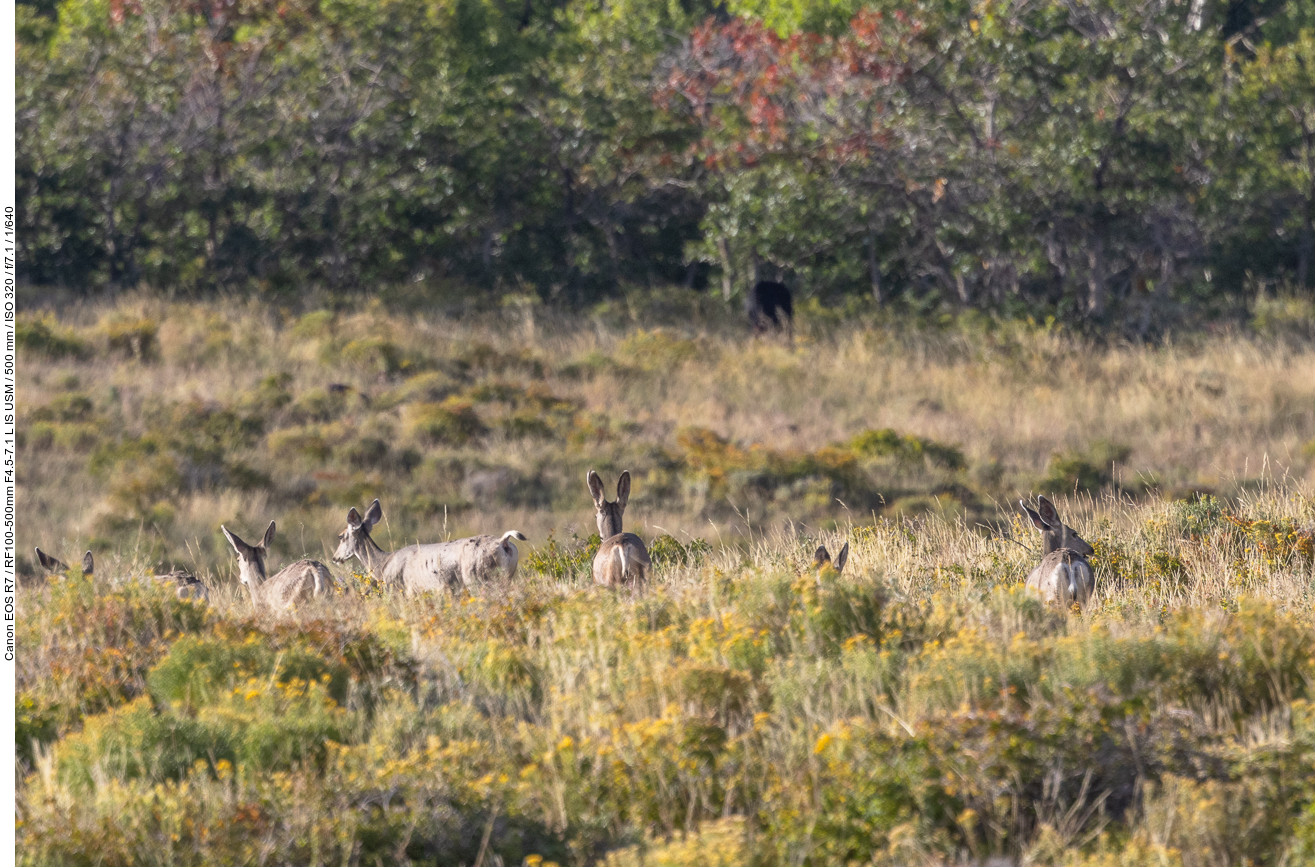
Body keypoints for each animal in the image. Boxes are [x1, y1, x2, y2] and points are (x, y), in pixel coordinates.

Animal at [331, 497, 526, 594]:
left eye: (341, 536)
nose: (335, 558)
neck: (383, 564)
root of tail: (503, 542)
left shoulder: (404, 588)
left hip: (476, 577)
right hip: (505, 576)